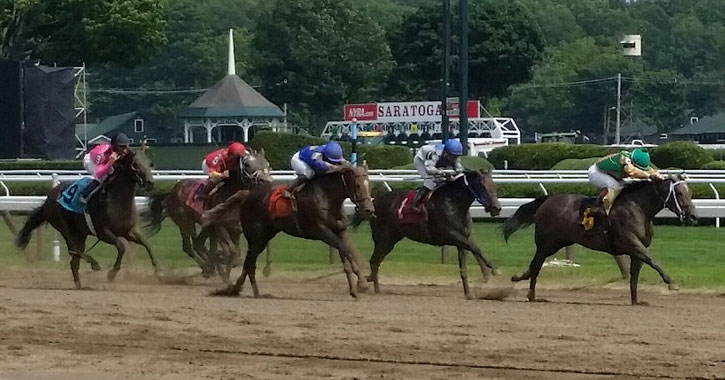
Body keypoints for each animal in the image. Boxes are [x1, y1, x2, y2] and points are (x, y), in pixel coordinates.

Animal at [14, 146, 158, 288]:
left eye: (150, 163)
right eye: (135, 164)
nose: (150, 182)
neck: (117, 201)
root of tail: (48, 198)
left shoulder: (129, 231)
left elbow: (147, 244)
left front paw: (159, 271)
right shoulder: (103, 232)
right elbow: (121, 246)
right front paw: (112, 274)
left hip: (80, 233)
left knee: (74, 259)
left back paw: (79, 285)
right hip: (63, 226)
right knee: (75, 250)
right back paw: (94, 264)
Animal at [146, 148, 270, 282]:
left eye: (267, 164)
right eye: (247, 165)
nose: (266, 181)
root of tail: (171, 193)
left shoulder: (236, 230)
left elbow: (235, 256)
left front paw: (223, 269)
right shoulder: (220, 226)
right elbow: (230, 252)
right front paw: (221, 266)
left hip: (201, 224)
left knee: (198, 243)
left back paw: (210, 267)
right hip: (184, 221)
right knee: (189, 246)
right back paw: (207, 267)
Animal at [209, 166, 376, 300]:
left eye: (370, 185)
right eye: (357, 184)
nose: (369, 209)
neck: (327, 196)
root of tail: (246, 194)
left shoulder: (339, 230)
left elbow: (346, 253)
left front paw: (355, 289)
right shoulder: (321, 231)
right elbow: (346, 249)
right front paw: (362, 284)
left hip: (265, 236)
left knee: (248, 264)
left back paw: (241, 289)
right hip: (255, 237)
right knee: (249, 263)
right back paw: (250, 292)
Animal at [352, 170, 500, 300]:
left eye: (494, 185)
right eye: (482, 186)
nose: (496, 208)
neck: (454, 203)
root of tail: (374, 202)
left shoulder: (462, 240)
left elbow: (465, 265)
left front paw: (469, 294)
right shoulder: (452, 235)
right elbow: (476, 248)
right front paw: (495, 269)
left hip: (391, 240)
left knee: (376, 261)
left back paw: (371, 284)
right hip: (383, 238)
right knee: (374, 261)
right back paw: (374, 288)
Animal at [500, 175, 700, 306]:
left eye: (690, 192)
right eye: (679, 193)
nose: (694, 216)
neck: (639, 208)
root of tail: (547, 199)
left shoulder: (637, 251)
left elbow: (634, 276)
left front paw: (636, 300)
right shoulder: (631, 242)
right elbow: (653, 260)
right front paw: (672, 284)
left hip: (559, 242)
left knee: (535, 265)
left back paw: (523, 282)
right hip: (547, 243)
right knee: (536, 265)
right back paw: (530, 293)